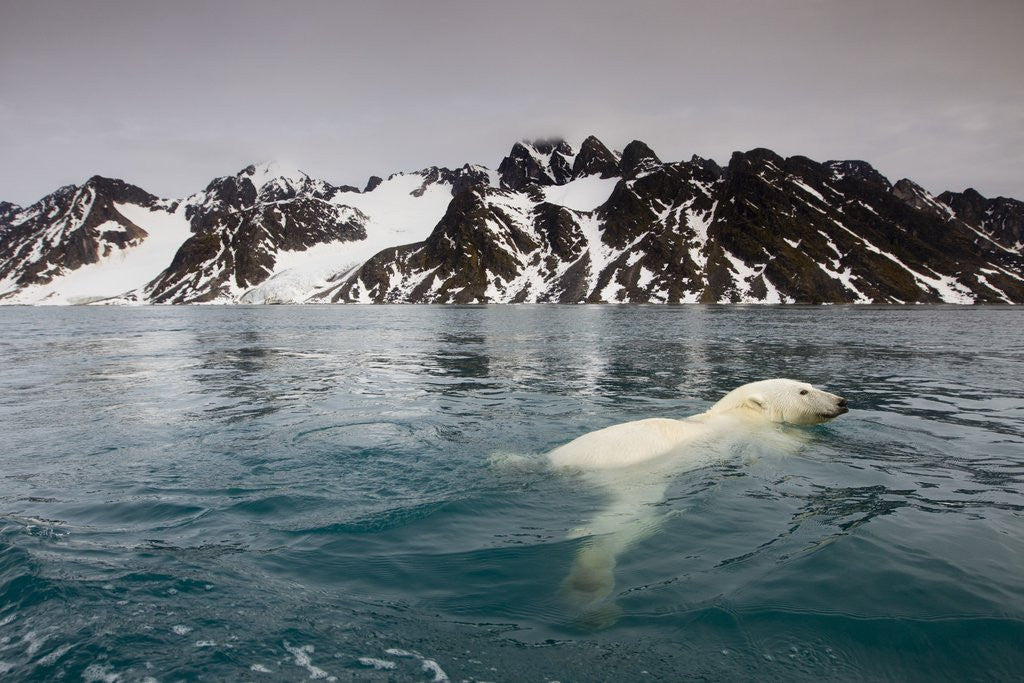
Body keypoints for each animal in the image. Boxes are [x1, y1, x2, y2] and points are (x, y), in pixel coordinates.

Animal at [548, 378, 848, 627]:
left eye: (810, 385)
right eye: (803, 391)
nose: (841, 401)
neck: (737, 413)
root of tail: (557, 464)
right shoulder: (756, 434)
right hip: (636, 477)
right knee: (623, 521)